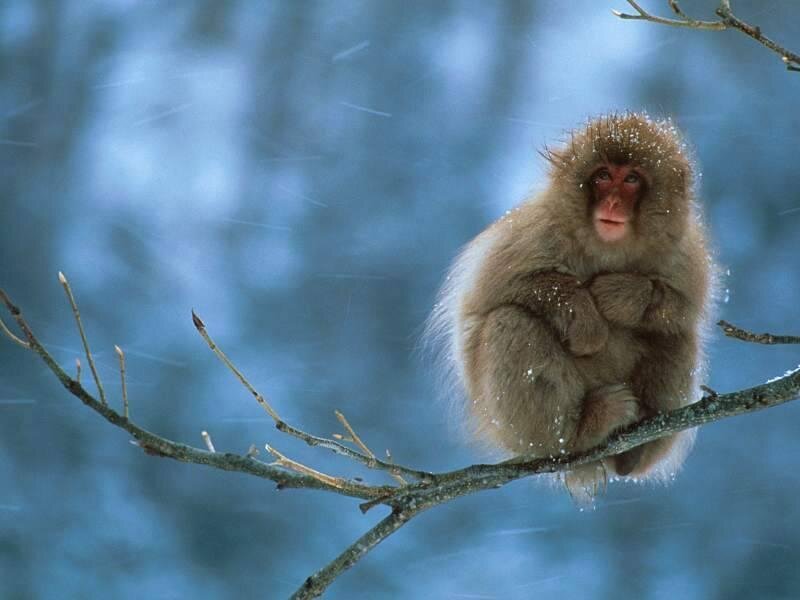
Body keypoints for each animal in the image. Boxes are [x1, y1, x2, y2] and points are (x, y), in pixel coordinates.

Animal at [428, 113, 714, 502]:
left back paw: (634, 452)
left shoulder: (683, 248)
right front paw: (587, 325)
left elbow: (685, 306)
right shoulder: (537, 229)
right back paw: (578, 432)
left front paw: (621, 294)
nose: (612, 204)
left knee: (677, 334)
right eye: (603, 175)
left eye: (632, 179)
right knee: (509, 321)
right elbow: (496, 293)